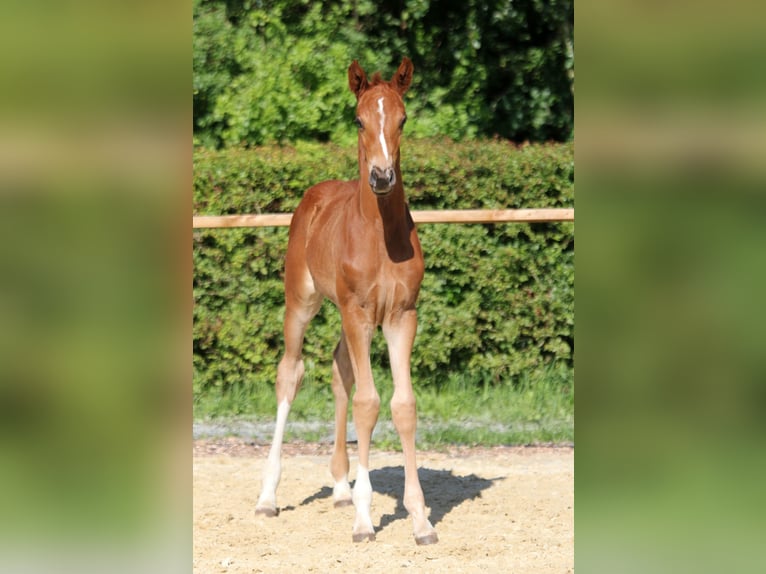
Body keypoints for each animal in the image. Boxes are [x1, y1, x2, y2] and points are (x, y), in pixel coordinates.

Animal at [256, 58, 440, 548]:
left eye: (403, 119)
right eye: (358, 120)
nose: (381, 177)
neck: (379, 236)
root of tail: (314, 194)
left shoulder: (400, 316)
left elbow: (403, 406)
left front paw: (420, 521)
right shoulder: (359, 313)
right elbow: (368, 403)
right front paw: (364, 519)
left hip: (343, 313)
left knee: (340, 371)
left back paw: (340, 485)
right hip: (302, 302)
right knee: (290, 373)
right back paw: (268, 496)